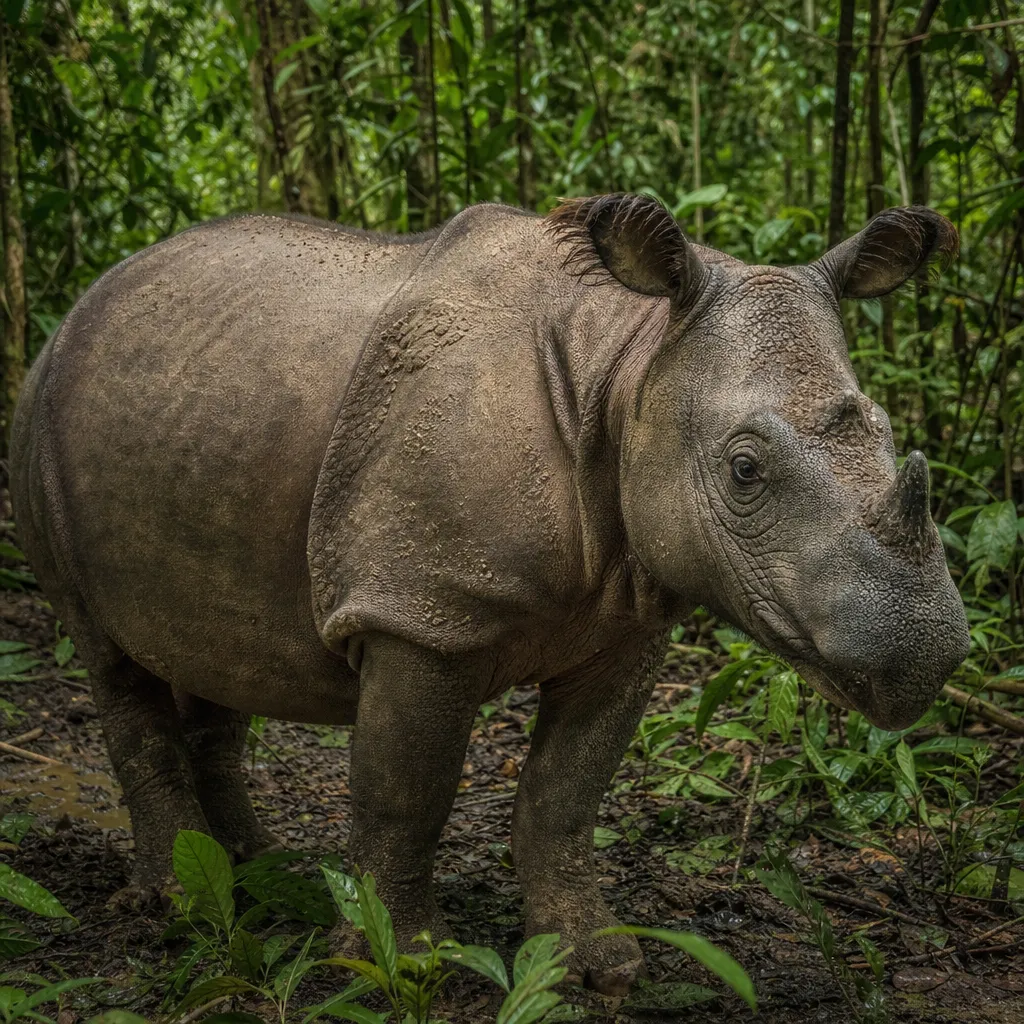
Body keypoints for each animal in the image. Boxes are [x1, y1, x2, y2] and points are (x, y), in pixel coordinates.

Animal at [11, 193, 969, 993]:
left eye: (888, 432)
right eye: (743, 469)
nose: (928, 652)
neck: (630, 368)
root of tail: (87, 302)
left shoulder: (626, 628)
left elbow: (565, 796)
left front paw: (598, 962)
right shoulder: (422, 614)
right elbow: (407, 791)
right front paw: (403, 961)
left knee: (214, 655)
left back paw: (257, 872)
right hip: (40, 418)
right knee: (106, 654)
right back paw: (179, 904)